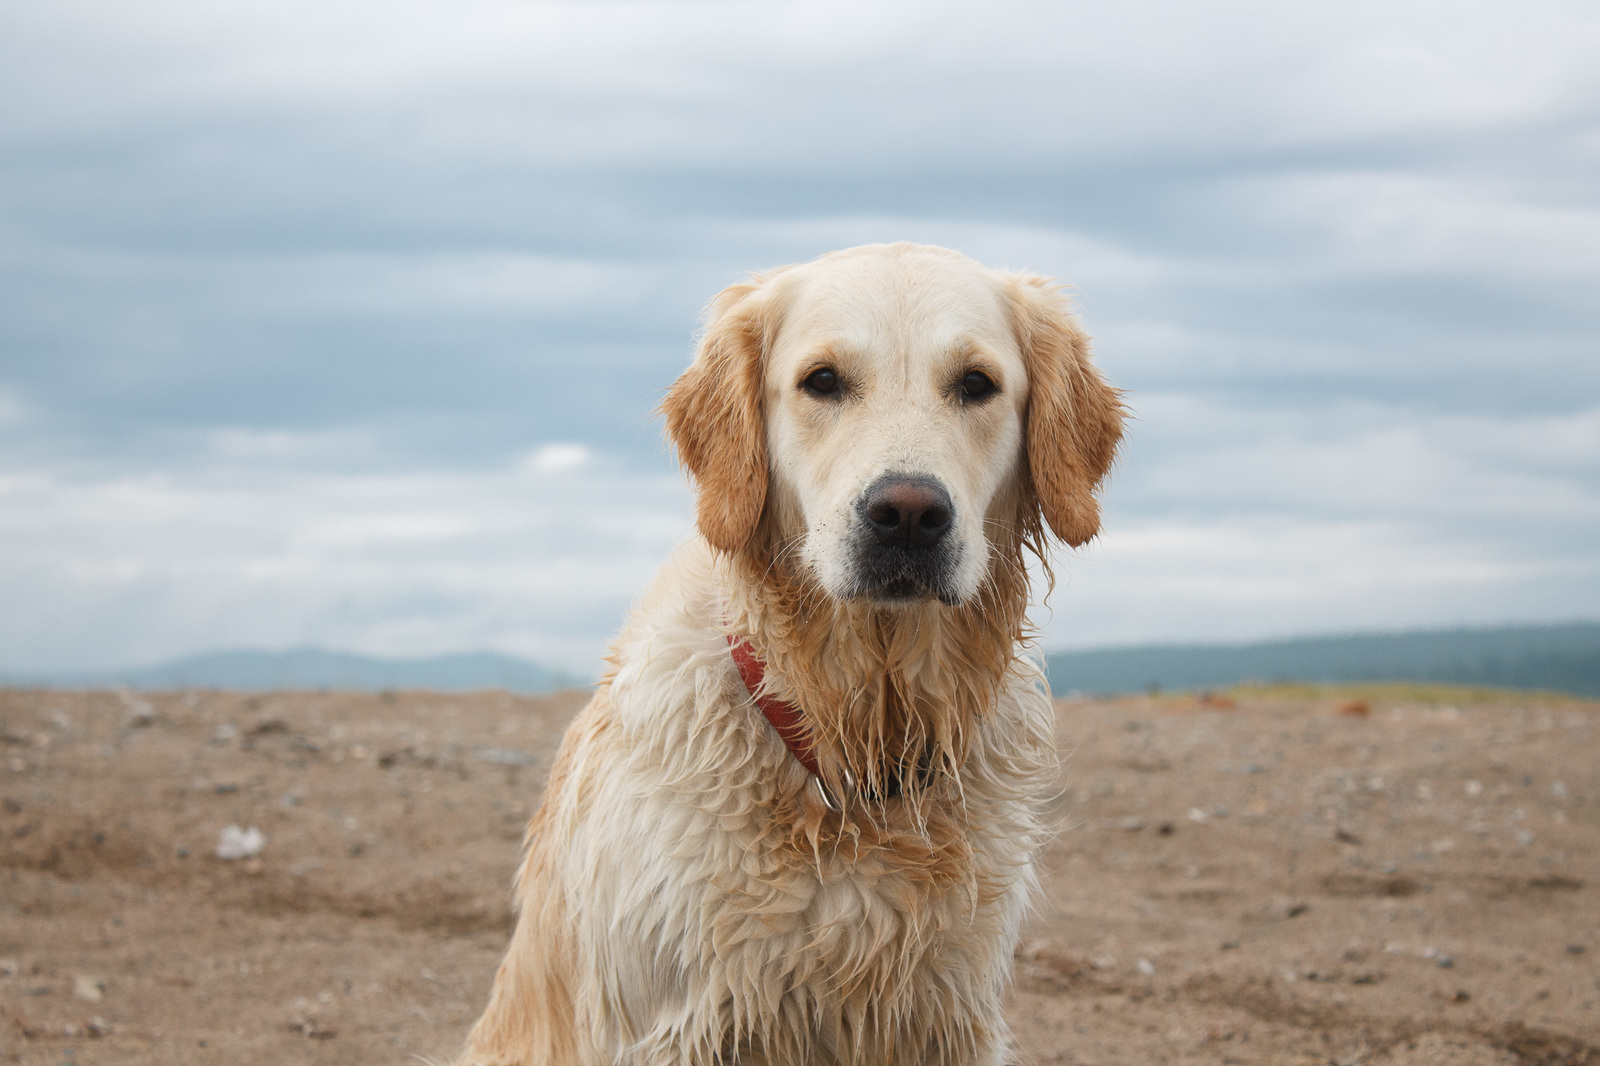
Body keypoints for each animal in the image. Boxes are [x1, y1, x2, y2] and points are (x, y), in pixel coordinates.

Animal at [454, 243, 1126, 1062]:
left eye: (976, 384)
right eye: (823, 380)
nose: (908, 515)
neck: (854, 740)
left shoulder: (949, 1013)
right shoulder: (674, 1024)